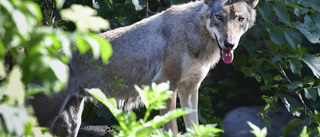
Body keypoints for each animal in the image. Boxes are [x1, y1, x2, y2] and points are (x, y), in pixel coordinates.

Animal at [28, 0, 258, 136]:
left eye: (240, 19)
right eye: (219, 17)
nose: (229, 44)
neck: (197, 35)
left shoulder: (190, 89)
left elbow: (193, 128)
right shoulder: (167, 86)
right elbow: (172, 130)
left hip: (70, 124)